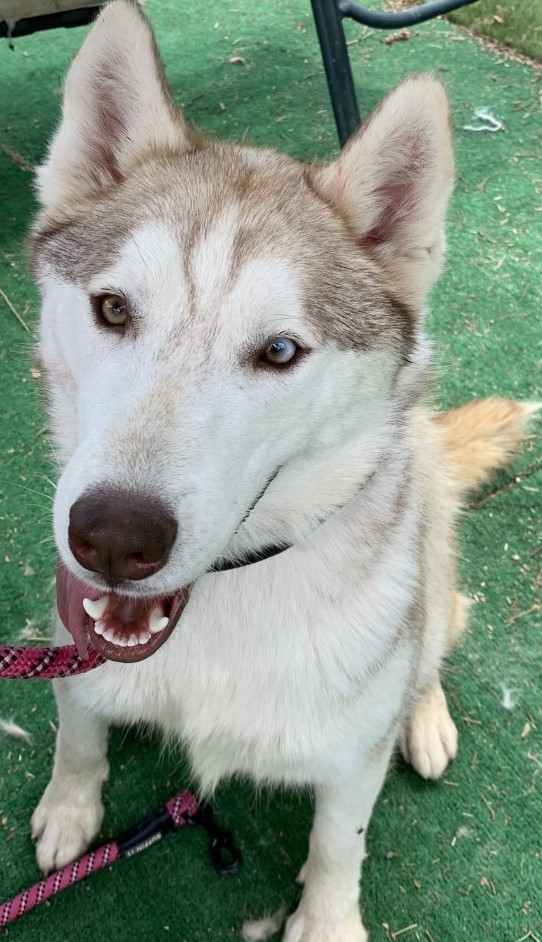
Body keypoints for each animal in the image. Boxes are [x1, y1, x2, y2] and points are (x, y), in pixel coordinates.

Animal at [30, 3, 540, 940]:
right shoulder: (69, 641)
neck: (218, 615)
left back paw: (424, 717)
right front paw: (69, 807)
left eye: (278, 351)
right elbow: (78, 728)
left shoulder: (346, 759)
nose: (113, 538)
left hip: (431, 568)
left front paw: (327, 920)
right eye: (113, 308)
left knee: (433, 637)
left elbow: (341, 840)